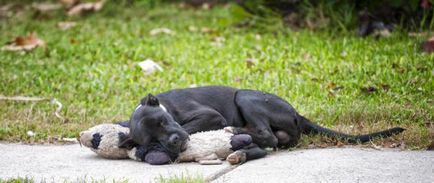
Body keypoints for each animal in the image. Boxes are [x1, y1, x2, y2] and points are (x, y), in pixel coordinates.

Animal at [118, 85, 404, 159]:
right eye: (152, 137)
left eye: (164, 122)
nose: (174, 141)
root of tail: (297, 114)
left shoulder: (210, 116)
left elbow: (190, 127)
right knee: (273, 139)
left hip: (245, 96)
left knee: (268, 135)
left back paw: (235, 131)